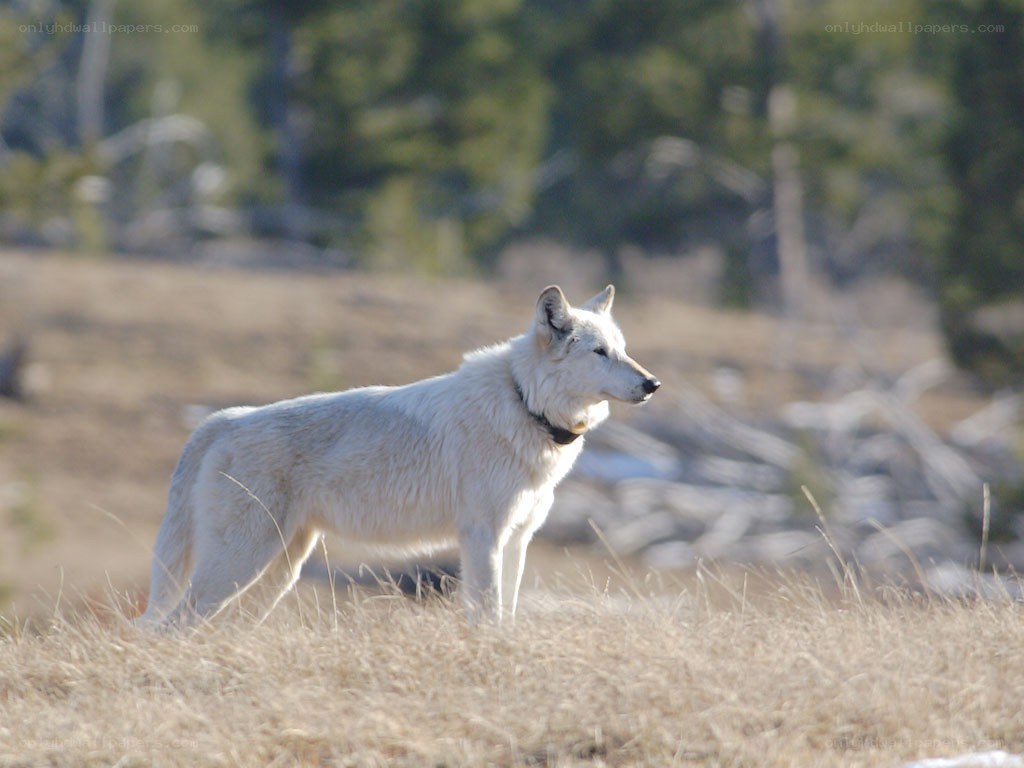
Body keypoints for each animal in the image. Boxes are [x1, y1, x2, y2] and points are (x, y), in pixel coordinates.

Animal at [138, 285, 659, 627]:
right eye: (599, 352)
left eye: (624, 350)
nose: (653, 383)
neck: (523, 404)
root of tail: (224, 420)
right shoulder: (482, 538)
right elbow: (487, 618)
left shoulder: (517, 540)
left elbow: (507, 617)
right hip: (240, 564)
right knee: (169, 626)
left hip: (276, 572)